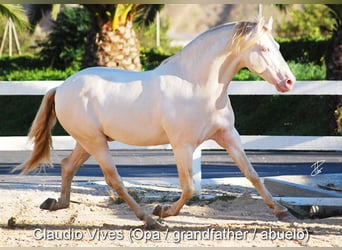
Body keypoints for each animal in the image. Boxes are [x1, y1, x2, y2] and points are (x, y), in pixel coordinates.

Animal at [14, 17, 296, 229]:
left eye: (278, 46)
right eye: (263, 49)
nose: (289, 82)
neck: (196, 84)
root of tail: (61, 87)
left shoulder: (227, 135)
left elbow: (253, 174)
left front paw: (282, 212)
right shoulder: (182, 145)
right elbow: (189, 187)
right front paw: (163, 210)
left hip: (88, 142)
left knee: (67, 166)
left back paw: (54, 203)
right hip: (95, 142)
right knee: (114, 180)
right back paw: (150, 220)